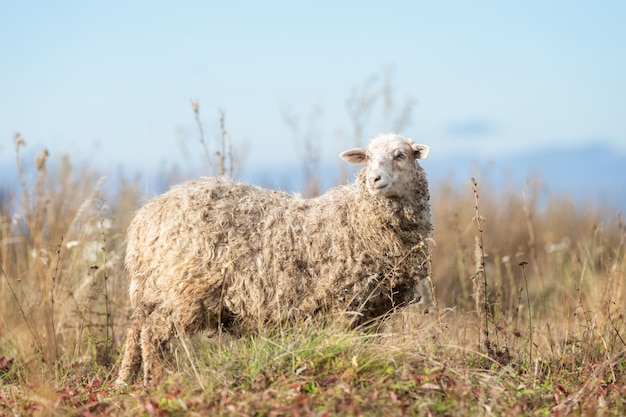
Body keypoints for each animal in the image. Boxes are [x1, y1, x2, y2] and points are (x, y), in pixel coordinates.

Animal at [116, 133, 428, 386]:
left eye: (400, 155)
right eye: (368, 157)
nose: (373, 179)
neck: (359, 218)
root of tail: (147, 218)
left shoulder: (373, 311)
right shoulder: (345, 303)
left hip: (153, 288)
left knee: (135, 330)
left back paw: (124, 382)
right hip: (183, 290)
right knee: (152, 333)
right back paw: (156, 382)